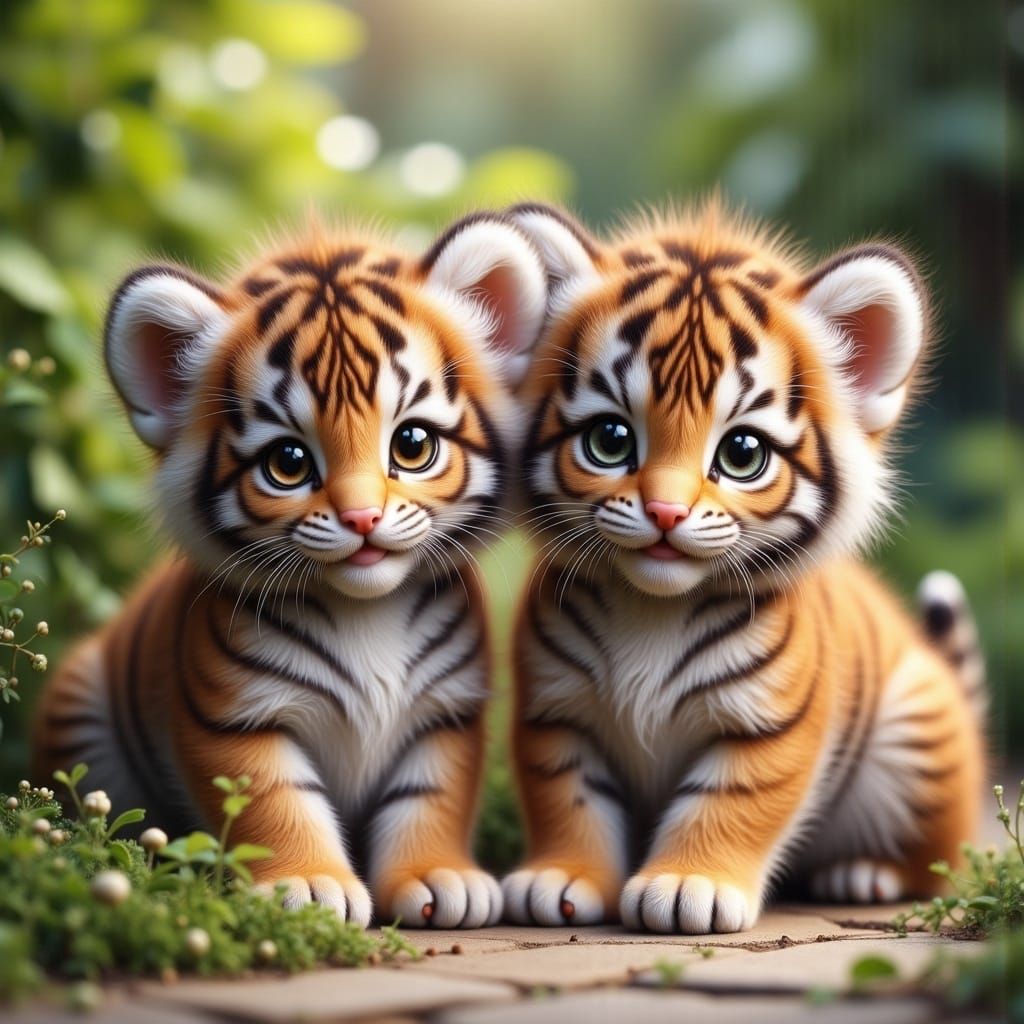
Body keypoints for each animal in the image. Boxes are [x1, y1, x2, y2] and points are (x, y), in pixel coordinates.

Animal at [32, 211, 549, 928]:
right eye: (288, 462)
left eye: (412, 444)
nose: (361, 518)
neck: (367, 610)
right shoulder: (236, 717)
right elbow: (278, 803)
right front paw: (306, 886)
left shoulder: (446, 713)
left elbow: (430, 798)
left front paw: (438, 876)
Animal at [500, 200, 986, 934]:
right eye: (610, 439)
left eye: (742, 454)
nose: (666, 511)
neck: (652, 608)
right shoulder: (555, 711)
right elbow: (569, 797)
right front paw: (562, 877)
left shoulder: (769, 724)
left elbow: (730, 802)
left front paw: (686, 886)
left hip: (917, 738)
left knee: (939, 859)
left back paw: (861, 875)